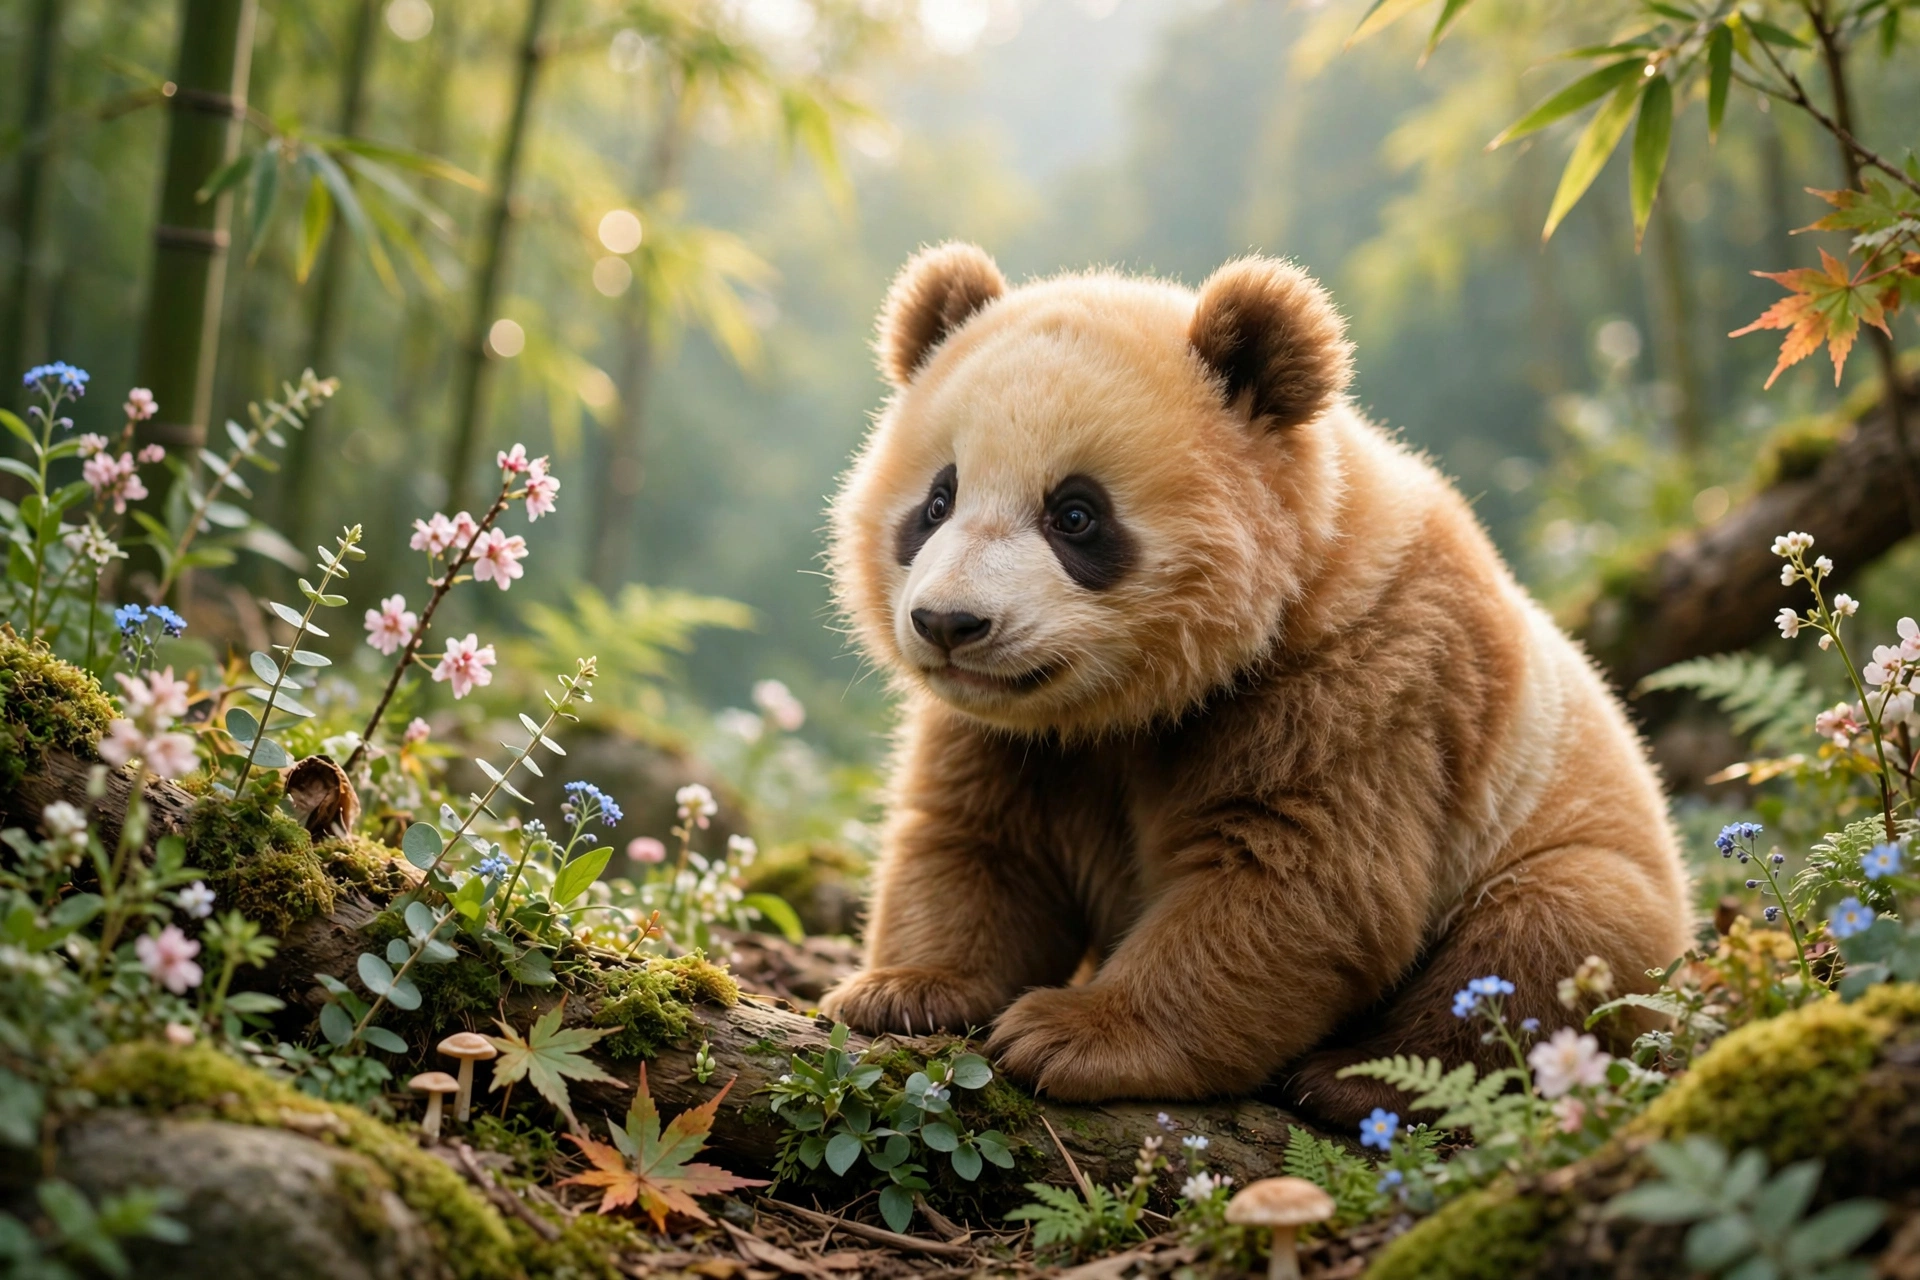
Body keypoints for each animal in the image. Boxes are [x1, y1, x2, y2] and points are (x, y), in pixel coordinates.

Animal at [817, 243, 1692, 1124]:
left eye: (1076, 516)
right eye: (937, 501)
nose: (949, 624)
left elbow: (1297, 882)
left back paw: (1362, 1077)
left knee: (1540, 943)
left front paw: (1072, 1033)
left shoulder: (1372, 675)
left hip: (1560, 842)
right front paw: (906, 990)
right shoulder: (1011, 732)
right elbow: (979, 841)